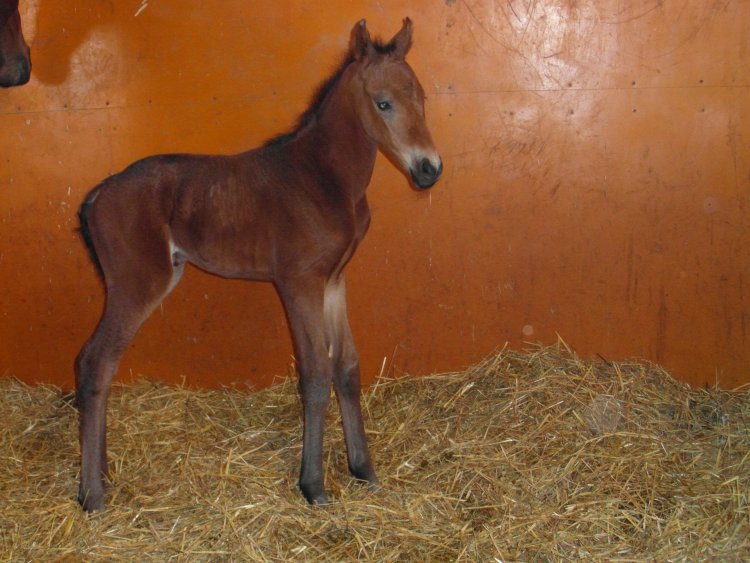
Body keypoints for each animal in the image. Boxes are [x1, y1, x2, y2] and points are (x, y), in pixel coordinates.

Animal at [76, 17, 440, 512]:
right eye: (382, 103)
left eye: (421, 98)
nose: (429, 170)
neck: (322, 179)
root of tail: (98, 193)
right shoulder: (300, 283)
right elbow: (315, 373)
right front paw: (314, 486)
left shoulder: (334, 280)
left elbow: (347, 367)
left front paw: (363, 470)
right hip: (138, 284)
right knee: (96, 362)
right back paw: (92, 494)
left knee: (96, 364)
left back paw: (102, 473)